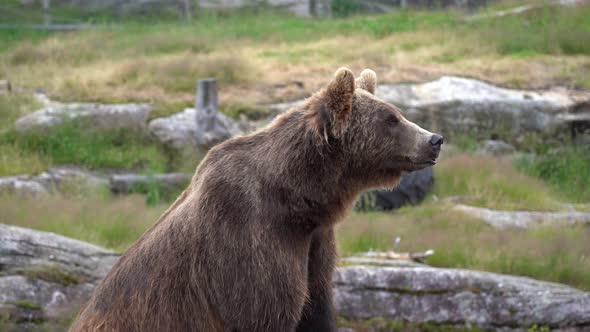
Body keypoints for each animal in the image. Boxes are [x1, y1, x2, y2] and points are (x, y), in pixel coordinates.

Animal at [69, 67, 444, 332]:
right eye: (391, 118)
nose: (434, 139)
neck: (297, 198)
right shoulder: (246, 240)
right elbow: (263, 310)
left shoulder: (315, 245)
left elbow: (316, 309)